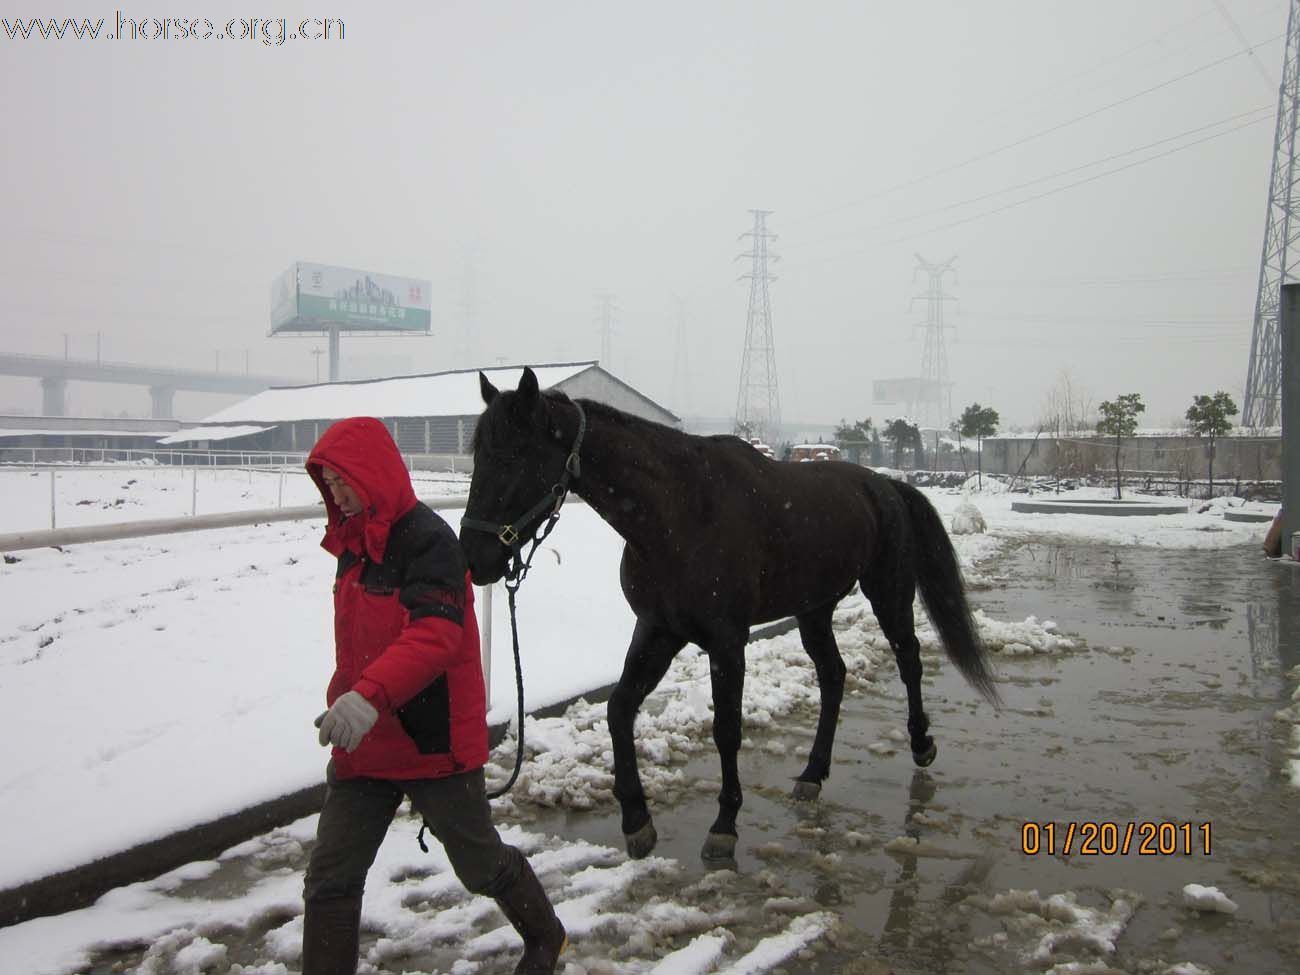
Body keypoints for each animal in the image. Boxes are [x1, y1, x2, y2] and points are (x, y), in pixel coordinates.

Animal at [462, 369, 998, 868]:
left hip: (888, 593)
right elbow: (619, 709)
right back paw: (812, 774)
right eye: (477, 457)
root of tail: (884, 484)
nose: (476, 558)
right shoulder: (658, 630)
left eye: (514, 456)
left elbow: (726, 728)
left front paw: (724, 826)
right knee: (833, 676)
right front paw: (637, 820)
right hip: (814, 610)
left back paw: (921, 743)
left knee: (909, 659)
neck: (678, 512)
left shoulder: (725, 641)